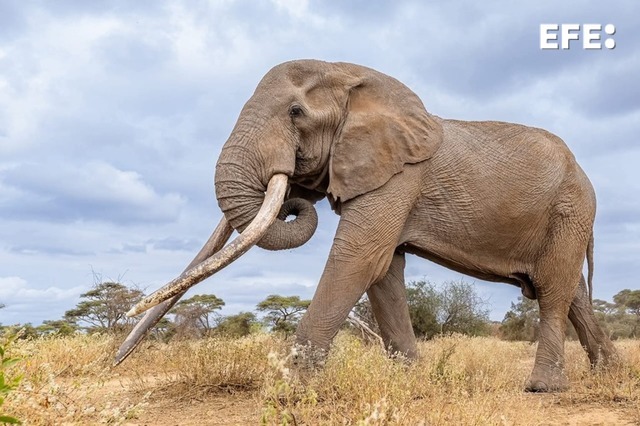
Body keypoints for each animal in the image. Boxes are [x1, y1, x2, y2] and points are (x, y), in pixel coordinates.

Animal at [117, 59, 618, 392]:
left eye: (295, 113)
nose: (114, 361)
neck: (351, 77)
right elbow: (384, 271)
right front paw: (410, 382)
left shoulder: (399, 175)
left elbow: (359, 258)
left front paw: (290, 391)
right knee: (571, 291)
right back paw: (610, 372)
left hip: (571, 208)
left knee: (552, 290)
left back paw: (544, 388)